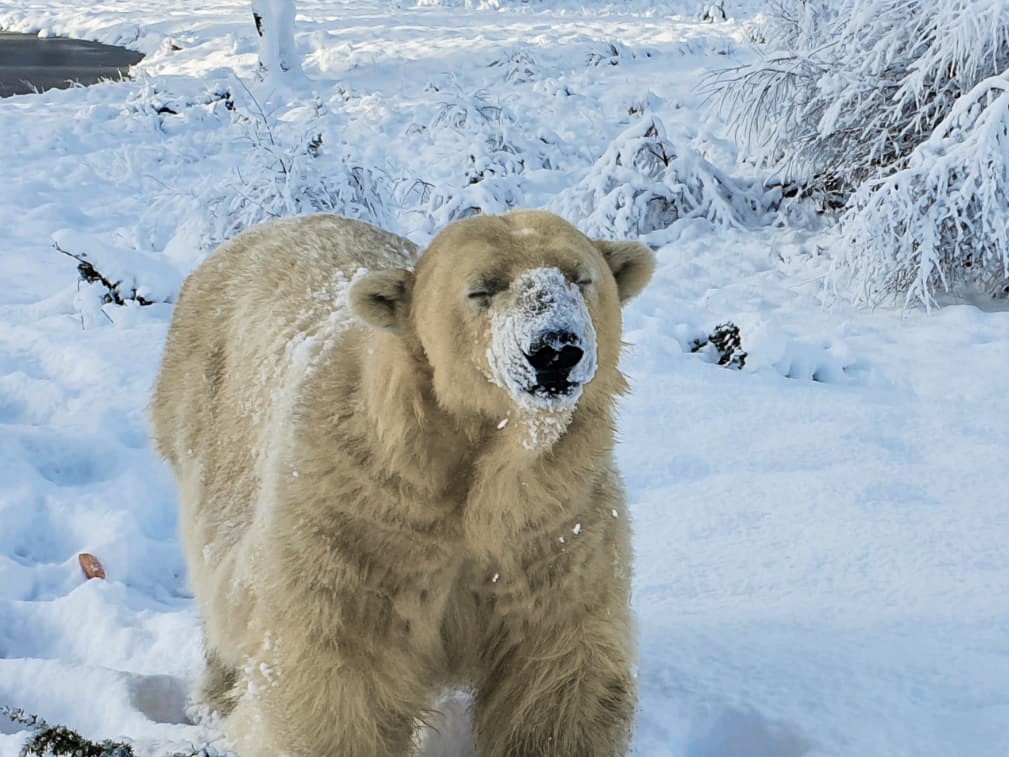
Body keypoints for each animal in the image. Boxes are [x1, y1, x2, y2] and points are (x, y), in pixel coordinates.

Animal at [150, 210, 654, 757]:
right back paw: (215, 695)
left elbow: (555, 672)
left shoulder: (552, 525)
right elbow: (337, 671)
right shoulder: (362, 513)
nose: (555, 349)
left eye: (581, 278)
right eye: (481, 289)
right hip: (204, 422)